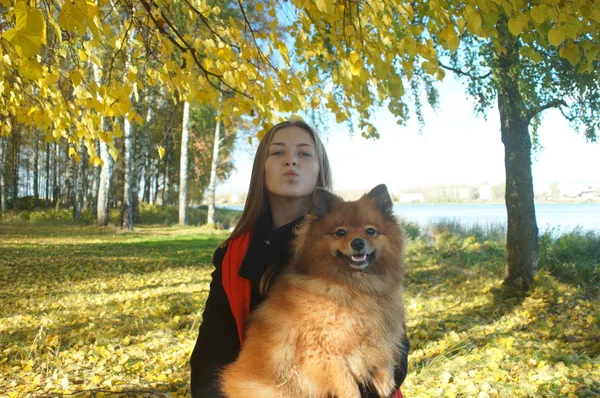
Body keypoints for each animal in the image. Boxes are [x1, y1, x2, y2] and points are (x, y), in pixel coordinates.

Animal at [220, 185, 408, 396]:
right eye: (340, 232)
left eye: (370, 231)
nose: (358, 242)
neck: (353, 285)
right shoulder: (324, 353)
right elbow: (348, 386)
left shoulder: (379, 336)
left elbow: (384, 359)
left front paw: (386, 384)